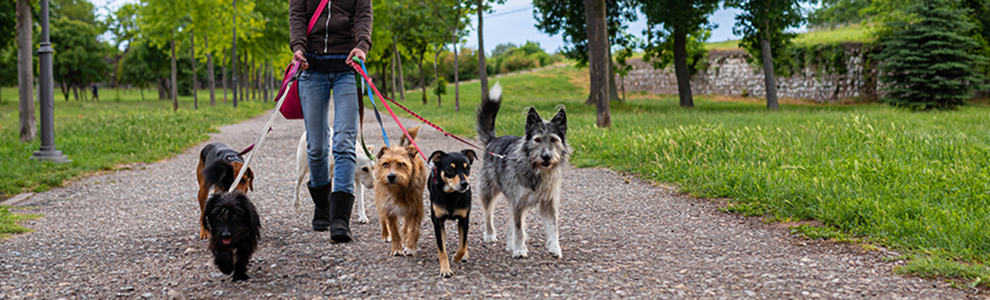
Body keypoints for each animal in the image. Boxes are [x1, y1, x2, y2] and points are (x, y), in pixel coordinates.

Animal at [374, 126, 428, 255]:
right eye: (385, 164)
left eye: (401, 163)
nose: (391, 176)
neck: (399, 189)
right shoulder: (389, 208)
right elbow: (394, 231)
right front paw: (397, 249)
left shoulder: (415, 208)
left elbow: (414, 229)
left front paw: (410, 247)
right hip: (380, 200)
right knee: (382, 219)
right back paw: (385, 235)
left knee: (406, 225)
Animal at [426, 149, 476, 278]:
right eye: (449, 169)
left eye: (467, 168)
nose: (465, 183)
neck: (451, 195)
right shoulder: (437, 222)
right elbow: (442, 249)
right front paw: (445, 269)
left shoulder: (464, 219)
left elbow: (462, 244)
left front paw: (457, 257)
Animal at [474, 82, 568, 258]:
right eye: (537, 140)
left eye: (553, 139)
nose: (546, 157)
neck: (536, 169)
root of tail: (492, 140)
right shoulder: (518, 201)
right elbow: (519, 229)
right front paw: (519, 250)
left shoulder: (548, 202)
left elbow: (553, 228)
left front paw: (555, 248)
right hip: (488, 191)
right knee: (488, 214)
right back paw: (490, 234)